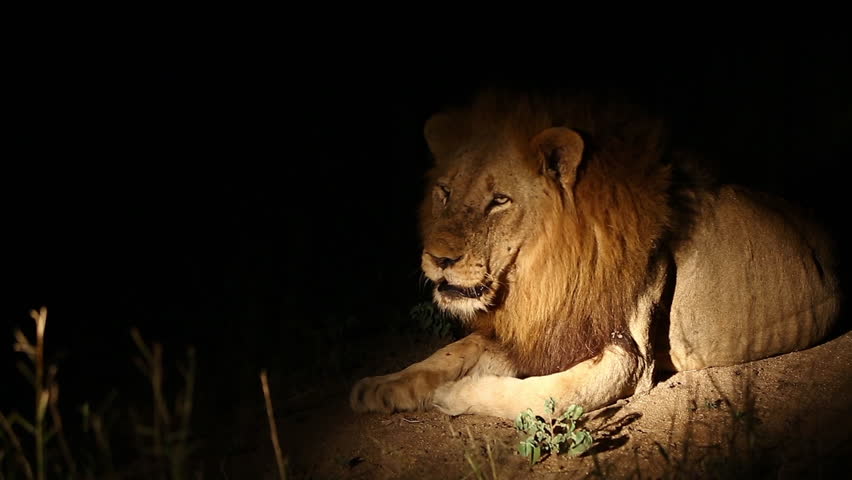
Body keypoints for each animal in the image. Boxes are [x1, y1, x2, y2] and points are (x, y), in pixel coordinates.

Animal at [350, 90, 844, 420]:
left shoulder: (627, 357)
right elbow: (449, 353)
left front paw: (456, 396)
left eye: (499, 201)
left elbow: (538, 396)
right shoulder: (539, 328)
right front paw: (381, 385)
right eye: (445, 192)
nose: (437, 258)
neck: (541, 273)